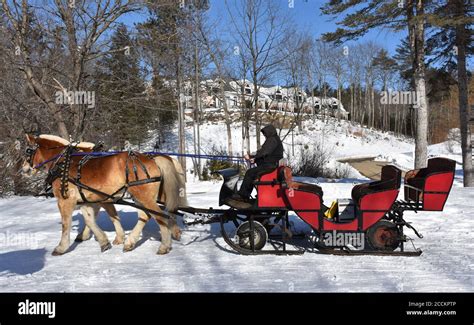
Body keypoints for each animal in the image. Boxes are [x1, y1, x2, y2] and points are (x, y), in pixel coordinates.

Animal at [24, 133, 184, 254]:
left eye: (28, 151)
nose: (24, 169)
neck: (64, 164)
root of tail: (151, 159)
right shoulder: (88, 200)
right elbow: (91, 220)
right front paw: (103, 241)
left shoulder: (66, 200)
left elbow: (66, 224)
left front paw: (61, 247)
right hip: (142, 196)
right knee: (150, 214)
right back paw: (132, 242)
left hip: (143, 196)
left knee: (159, 215)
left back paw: (164, 245)